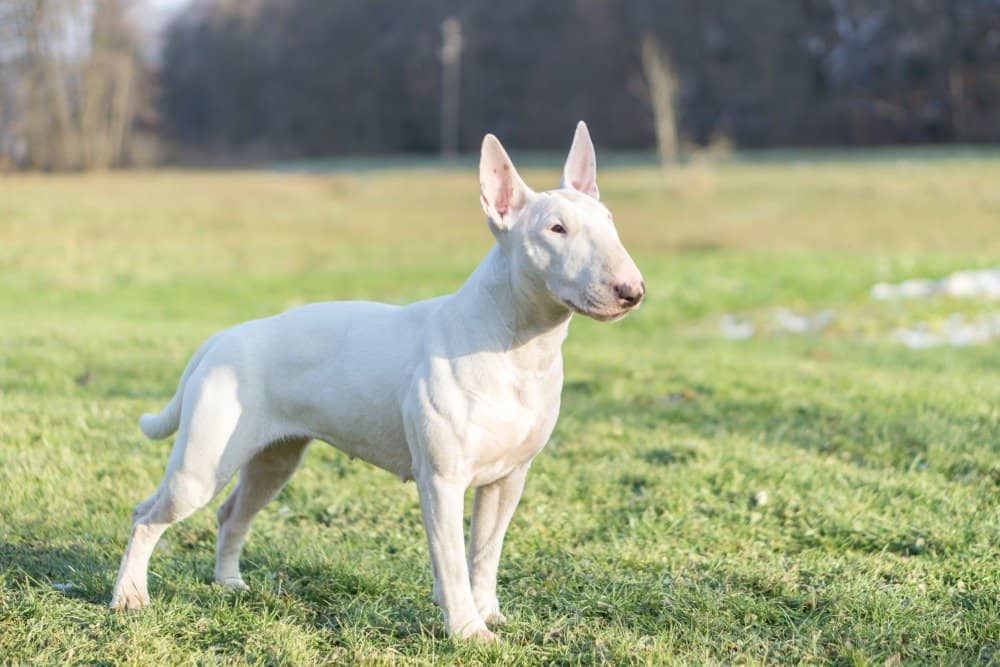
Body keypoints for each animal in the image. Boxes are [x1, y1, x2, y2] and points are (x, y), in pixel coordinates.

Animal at [109, 122, 640, 644]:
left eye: (610, 220)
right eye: (556, 229)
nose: (632, 291)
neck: (515, 346)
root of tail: (220, 339)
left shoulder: (508, 480)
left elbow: (485, 553)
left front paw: (490, 615)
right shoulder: (441, 482)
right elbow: (452, 561)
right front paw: (468, 631)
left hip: (273, 462)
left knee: (230, 514)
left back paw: (229, 584)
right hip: (200, 467)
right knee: (146, 517)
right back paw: (130, 597)